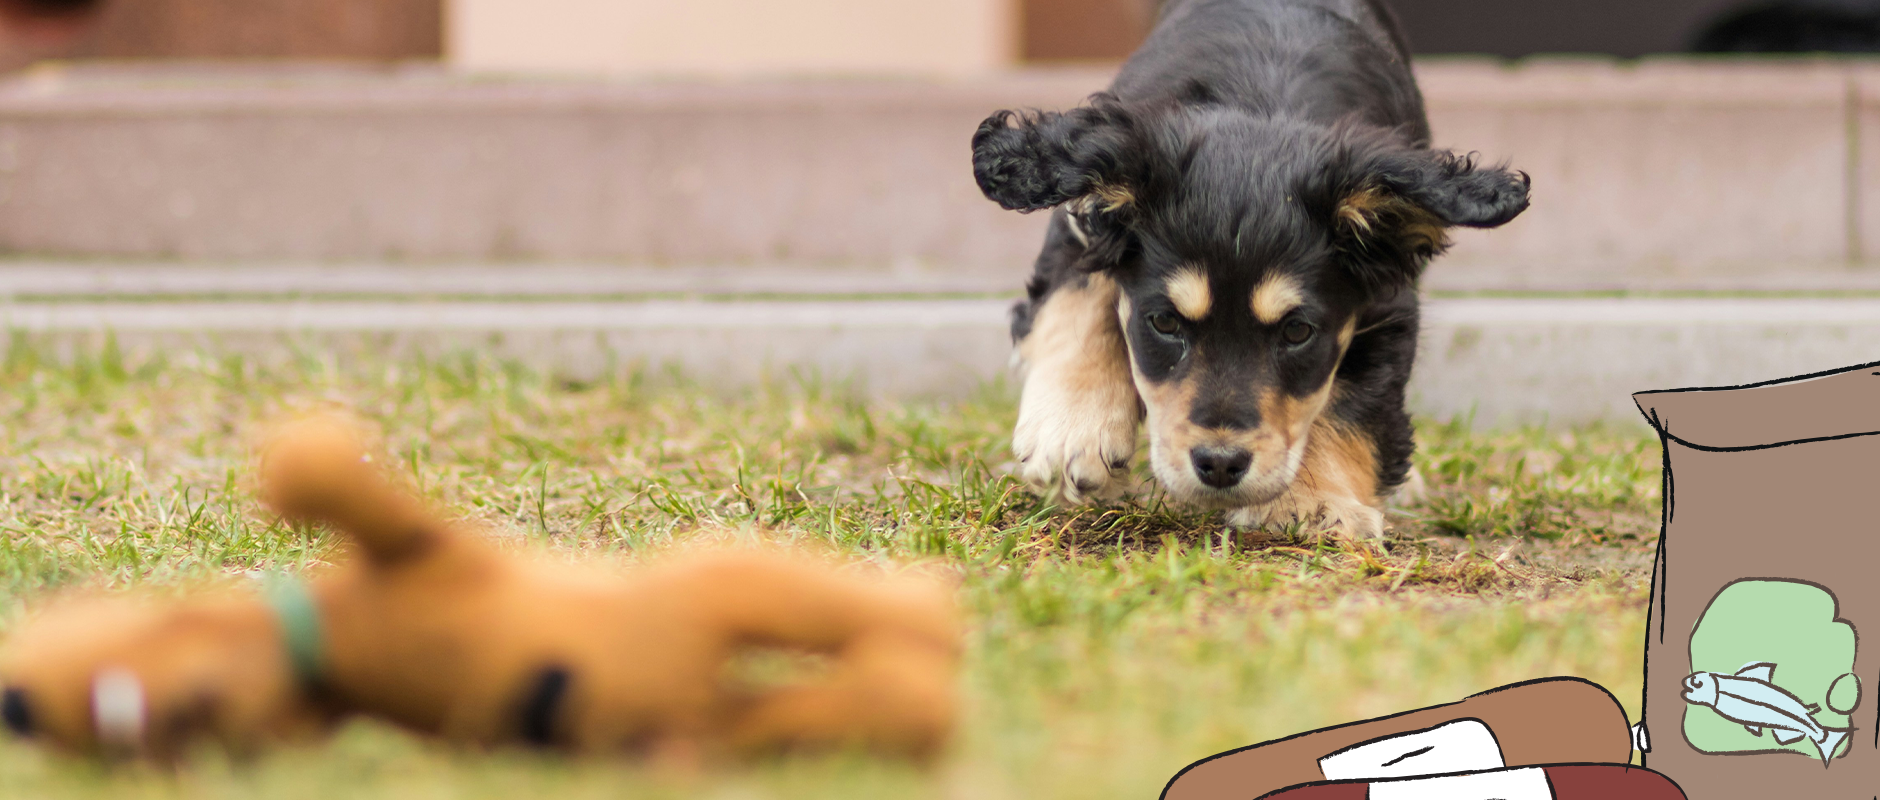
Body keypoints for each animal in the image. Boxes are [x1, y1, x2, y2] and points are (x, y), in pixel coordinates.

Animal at [970, 0, 1526, 540]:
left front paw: (1312, 501)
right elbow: (1080, 293)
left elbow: (1349, 400)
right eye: (1164, 322)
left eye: (1298, 332)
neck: (1262, 103)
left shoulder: (1387, 298)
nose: (1219, 464)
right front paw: (1071, 432)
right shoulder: (1084, 215)